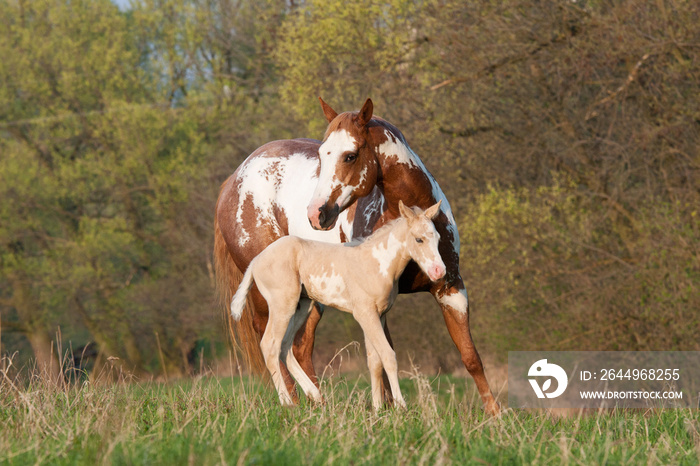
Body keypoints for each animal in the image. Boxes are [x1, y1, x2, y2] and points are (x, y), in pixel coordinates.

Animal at [231, 200, 448, 408]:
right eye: (419, 239)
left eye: (438, 238)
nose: (439, 272)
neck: (377, 263)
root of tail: (255, 261)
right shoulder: (365, 313)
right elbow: (388, 356)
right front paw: (401, 406)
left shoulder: (378, 315)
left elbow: (374, 360)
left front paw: (377, 408)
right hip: (281, 305)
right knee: (270, 345)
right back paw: (287, 403)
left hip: (301, 307)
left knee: (285, 347)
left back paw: (315, 396)